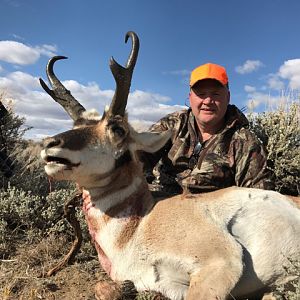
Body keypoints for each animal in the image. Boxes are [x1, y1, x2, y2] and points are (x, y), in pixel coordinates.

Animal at [40, 31, 300, 298]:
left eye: (118, 129)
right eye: (76, 126)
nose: (49, 143)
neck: (138, 226)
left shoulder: (222, 261)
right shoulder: (167, 285)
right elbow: (104, 288)